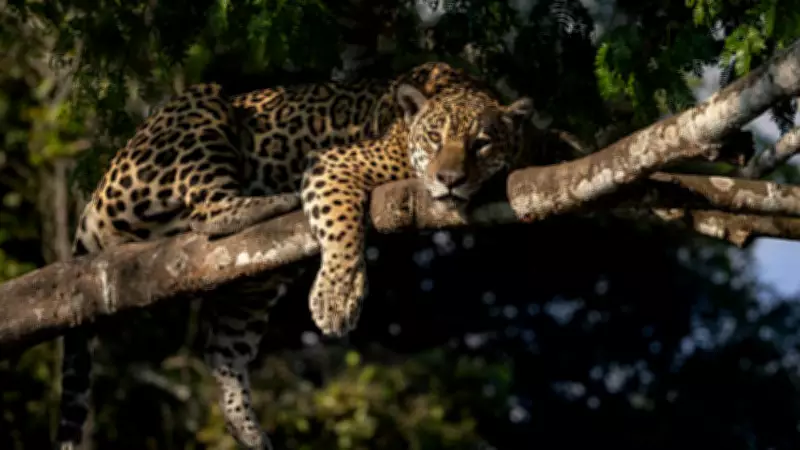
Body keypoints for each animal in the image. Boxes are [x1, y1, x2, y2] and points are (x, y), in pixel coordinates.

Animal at [55, 61, 533, 450]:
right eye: (435, 138)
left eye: (482, 144)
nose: (449, 179)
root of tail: (99, 190)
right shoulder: (333, 164)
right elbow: (341, 227)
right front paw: (336, 300)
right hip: (200, 108)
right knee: (208, 210)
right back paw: (275, 200)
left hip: (254, 285)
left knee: (222, 350)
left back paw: (246, 429)